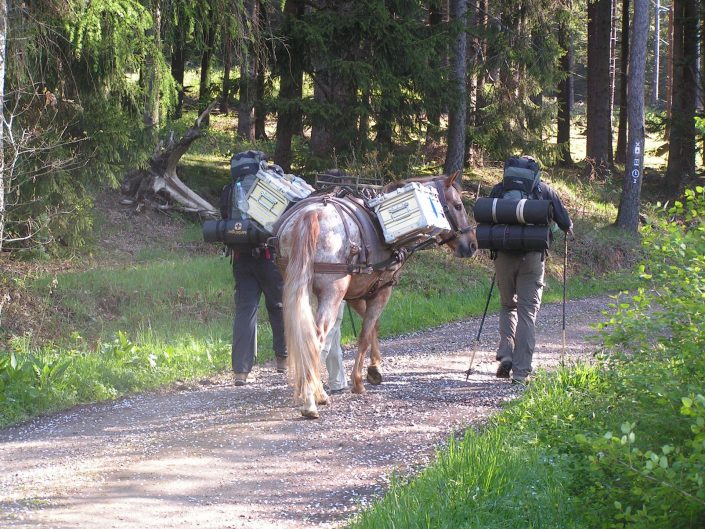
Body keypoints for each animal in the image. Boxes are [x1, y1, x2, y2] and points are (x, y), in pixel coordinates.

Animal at [272, 172, 476, 416]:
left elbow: (373, 329)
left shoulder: (356, 295)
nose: (472, 245)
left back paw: (314, 392)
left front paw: (374, 369)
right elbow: (364, 334)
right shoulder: (382, 290)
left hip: (301, 290)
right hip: (332, 295)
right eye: (458, 205)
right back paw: (312, 399)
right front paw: (359, 381)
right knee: (316, 337)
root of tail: (310, 213)